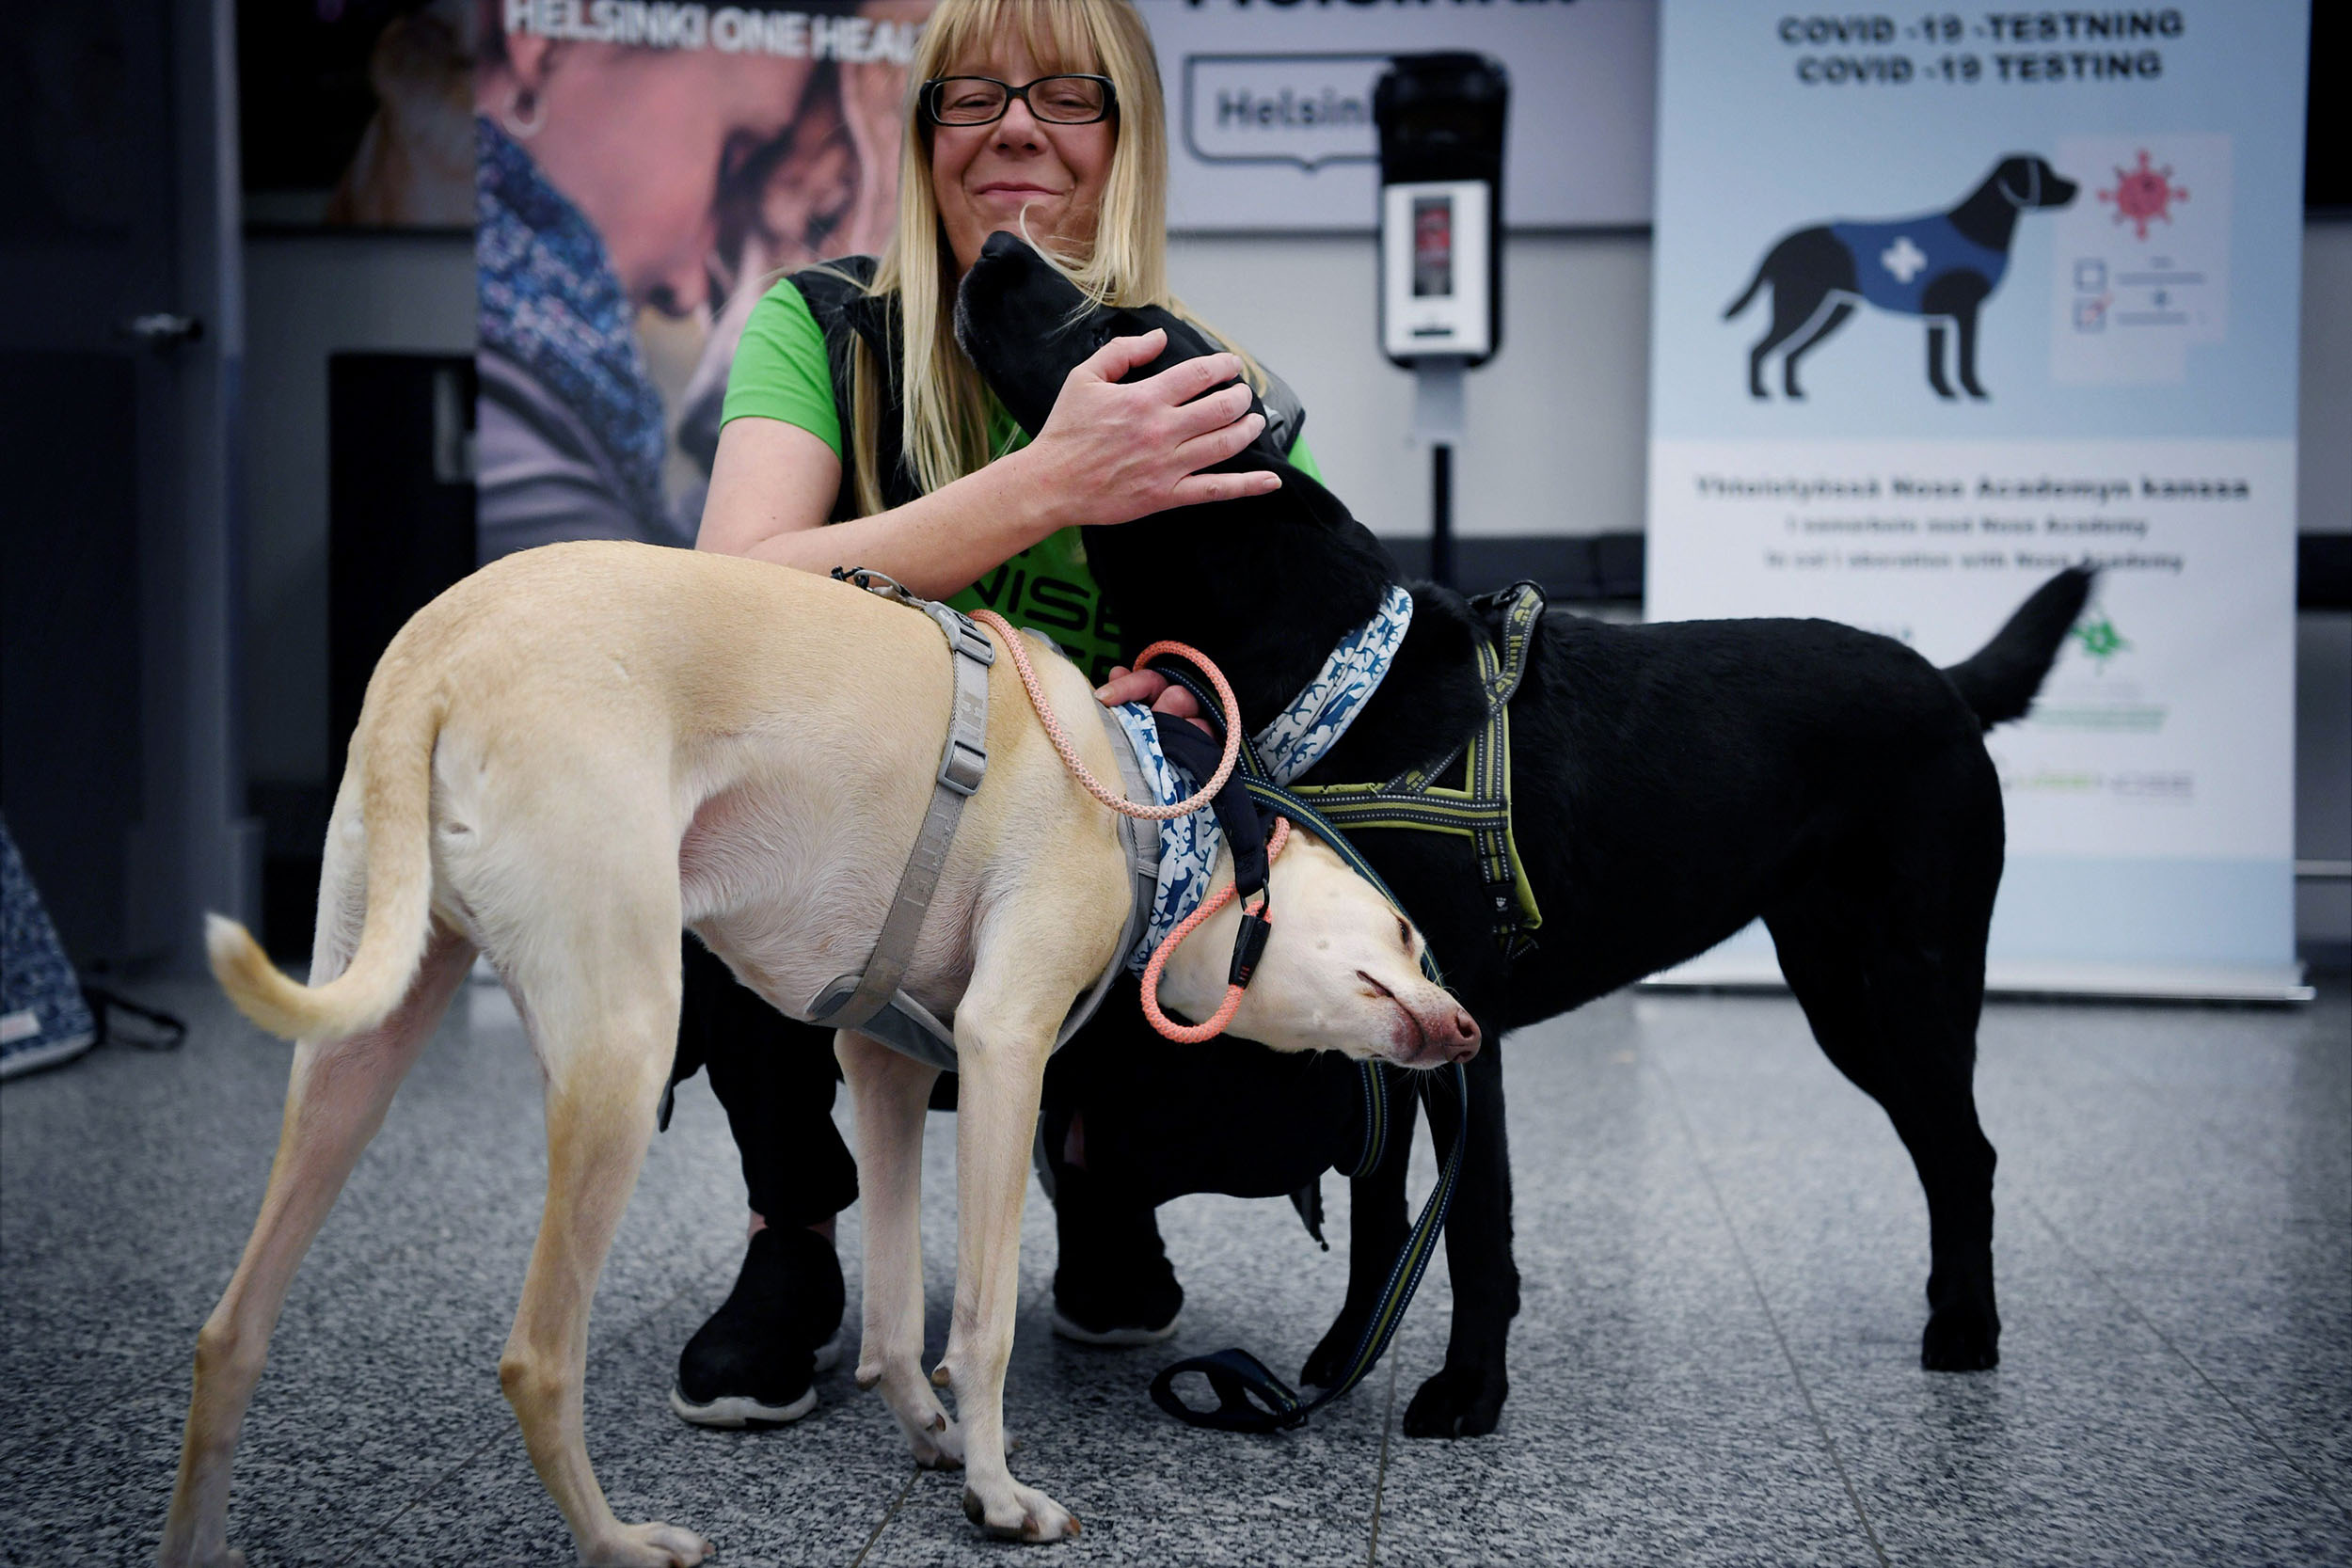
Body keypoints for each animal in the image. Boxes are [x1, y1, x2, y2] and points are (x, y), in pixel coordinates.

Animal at [955, 227, 2098, 1438]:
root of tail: (1948, 682)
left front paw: (1467, 1389)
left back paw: (1965, 1327)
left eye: (1108, 326)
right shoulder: (1376, 1021)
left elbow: (1471, 1226)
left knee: (1963, 1148)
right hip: (1840, 987)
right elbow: (1379, 1212)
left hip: (1907, 980)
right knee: (1944, 1146)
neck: (1339, 671)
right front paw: (1341, 1357)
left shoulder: (1464, 1024)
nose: (997, 243)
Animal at [1731, 153, 2079, 402]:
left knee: (1790, 352)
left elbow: (1937, 360)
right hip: (1799, 304)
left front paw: (1945, 391)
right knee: (1759, 348)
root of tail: (1782, 243)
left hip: (1835, 309)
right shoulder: (1967, 312)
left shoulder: (1938, 317)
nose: (2076, 187)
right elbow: (1965, 358)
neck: (1975, 228)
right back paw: (1761, 393)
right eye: (2045, 172)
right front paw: (1973, 391)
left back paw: (1792, 392)